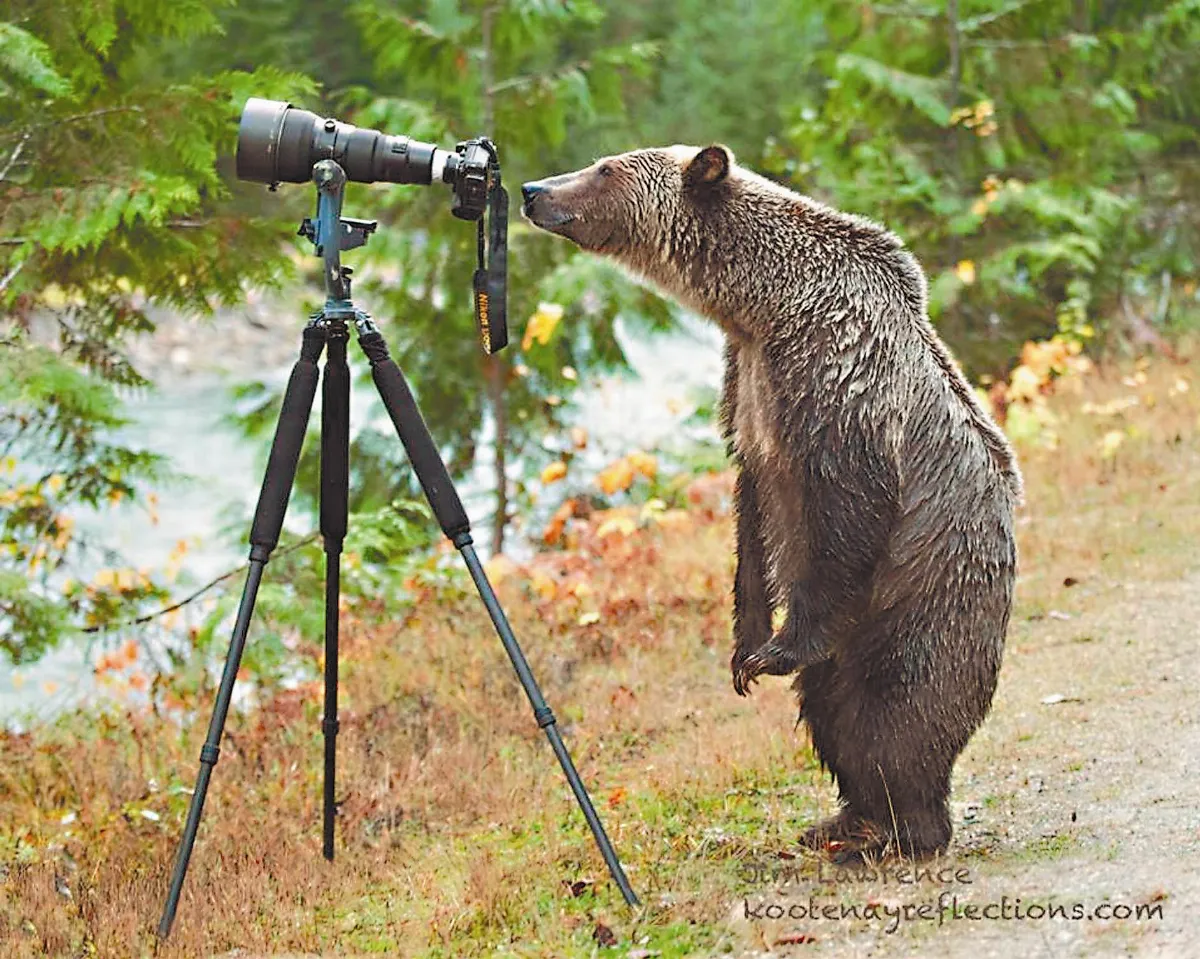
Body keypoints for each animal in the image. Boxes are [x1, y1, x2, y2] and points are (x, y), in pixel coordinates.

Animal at [521, 144, 1022, 860]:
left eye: (606, 169)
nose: (534, 190)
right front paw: (746, 649)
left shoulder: (836, 380)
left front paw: (775, 650)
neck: (764, 308)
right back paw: (845, 820)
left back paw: (903, 828)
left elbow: (846, 509)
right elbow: (751, 515)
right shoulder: (747, 387)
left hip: (925, 599)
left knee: (895, 712)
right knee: (831, 712)